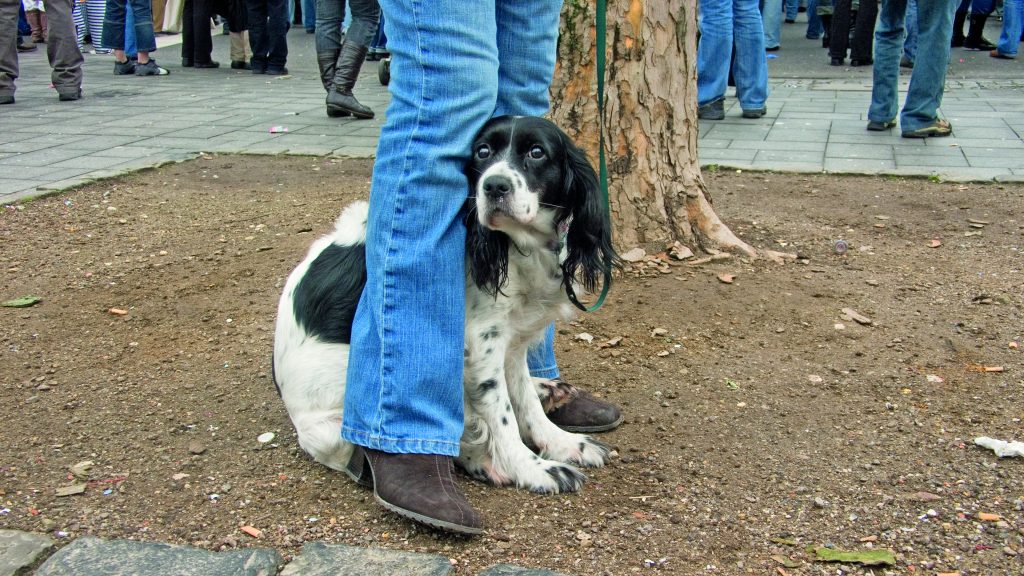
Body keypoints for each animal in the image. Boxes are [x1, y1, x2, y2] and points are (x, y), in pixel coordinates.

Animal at [272, 114, 618, 491]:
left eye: (537, 152)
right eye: (482, 151)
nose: (494, 186)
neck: (516, 246)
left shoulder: (511, 340)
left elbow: (525, 401)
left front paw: (563, 442)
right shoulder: (482, 342)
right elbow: (501, 415)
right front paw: (533, 469)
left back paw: (547, 390)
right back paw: (484, 460)